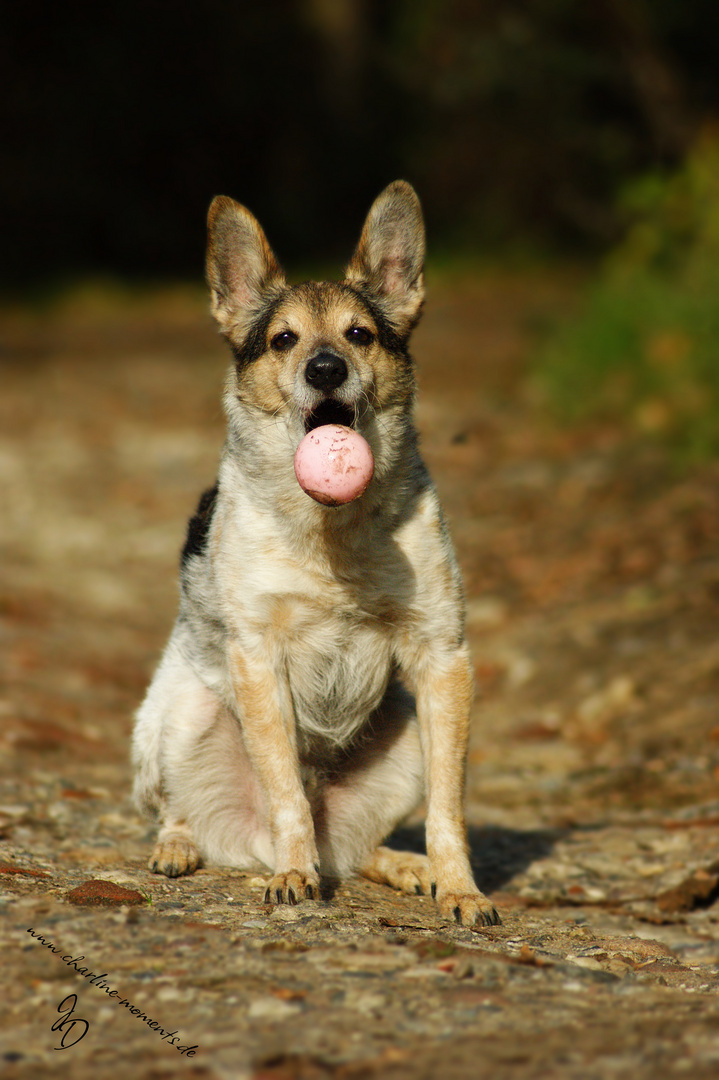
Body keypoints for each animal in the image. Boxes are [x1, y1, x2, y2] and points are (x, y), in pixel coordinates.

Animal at [130, 181, 498, 924]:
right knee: (188, 811)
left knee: (355, 850)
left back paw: (405, 867)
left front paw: (460, 888)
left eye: (359, 335)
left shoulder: (443, 658)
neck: (333, 532)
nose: (325, 368)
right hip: (179, 712)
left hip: (405, 729)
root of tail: (245, 845)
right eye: (283, 340)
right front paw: (293, 877)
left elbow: (448, 809)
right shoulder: (258, 659)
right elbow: (287, 797)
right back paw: (186, 848)